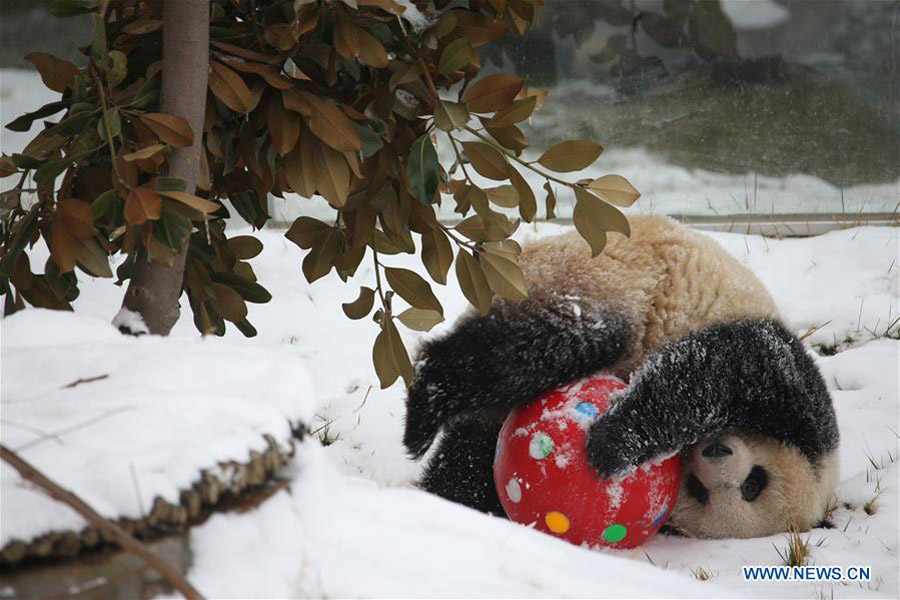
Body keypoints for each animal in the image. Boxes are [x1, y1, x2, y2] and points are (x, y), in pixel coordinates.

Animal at [404, 216, 840, 540]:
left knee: (471, 456)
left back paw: (443, 496)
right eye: (756, 482)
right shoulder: (795, 392)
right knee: (535, 347)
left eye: (701, 492)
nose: (716, 452)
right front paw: (608, 445)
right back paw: (425, 409)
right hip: (600, 276)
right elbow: (710, 373)